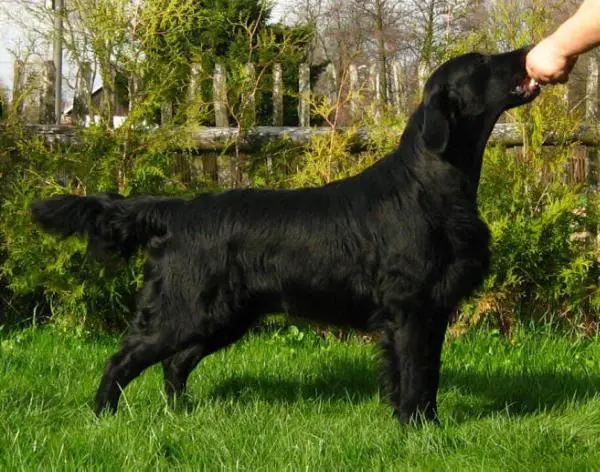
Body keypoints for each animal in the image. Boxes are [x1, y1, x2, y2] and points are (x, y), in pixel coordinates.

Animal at [31, 47, 540, 424]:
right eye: (482, 62)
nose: (525, 51)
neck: (430, 183)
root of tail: (178, 209)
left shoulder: (432, 310)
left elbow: (425, 377)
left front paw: (422, 424)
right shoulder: (411, 308)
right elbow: (416, 377)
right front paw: (419, 430)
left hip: (222, 316)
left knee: (174, 364)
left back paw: (183, 413)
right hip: (184, 307)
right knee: (123, 360)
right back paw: (103, 416)